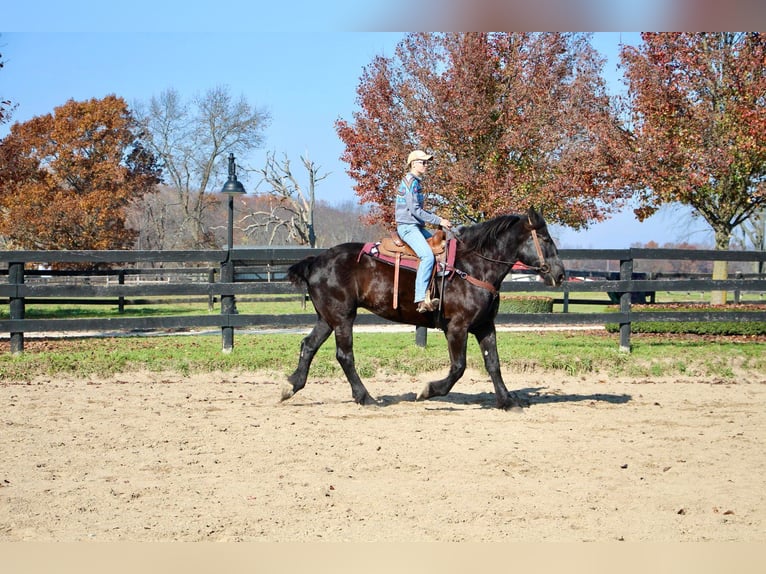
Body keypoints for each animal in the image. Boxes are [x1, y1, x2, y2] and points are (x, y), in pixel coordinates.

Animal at [284, 207, 568, 410]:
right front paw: (428, 390)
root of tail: (315, 261)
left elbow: (493, 363)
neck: (472, 267)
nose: (560, 274)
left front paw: (508, 402)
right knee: (345, 356)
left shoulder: (485, 325)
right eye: (544, 238)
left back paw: (291, 386)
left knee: (308, 345)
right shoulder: (457, 327)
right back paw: (365, 398)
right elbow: (459, 367)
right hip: (343, 318)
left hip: (327, 318)